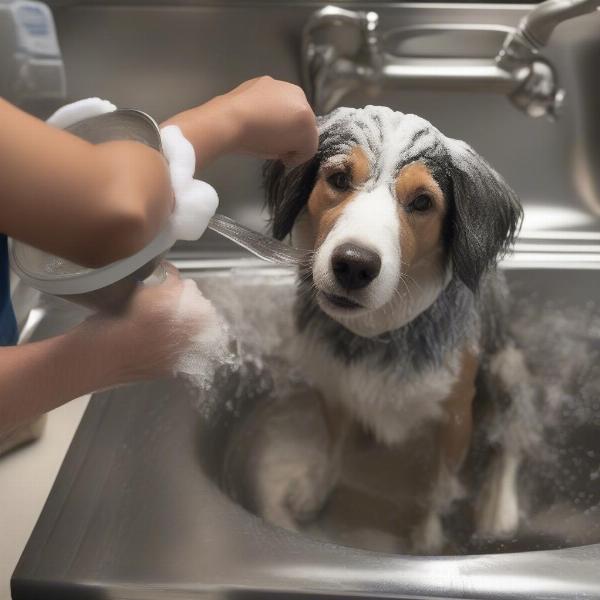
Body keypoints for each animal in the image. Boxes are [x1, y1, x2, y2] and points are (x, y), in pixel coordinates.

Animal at [255, 106, 528, 552]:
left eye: (422, 202)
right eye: (338, 178)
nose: (353, 264)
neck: (379, 331)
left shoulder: (455, 418)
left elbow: (437, 489)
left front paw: (427, 538)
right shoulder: (334, 387)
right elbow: (332, 453)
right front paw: (315, 492)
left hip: (507, 366)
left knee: (510, 443)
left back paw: (498, 511)